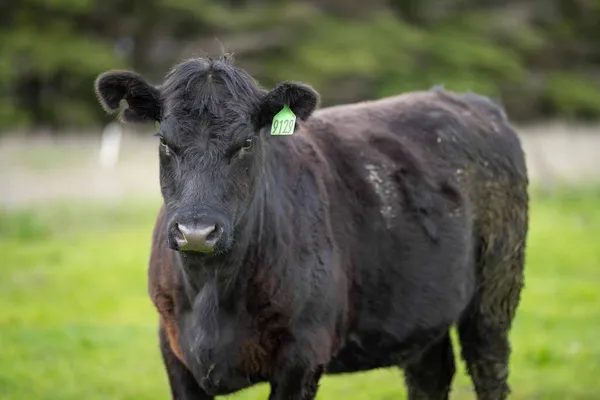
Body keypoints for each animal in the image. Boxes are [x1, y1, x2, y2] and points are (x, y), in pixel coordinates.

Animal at [94, 54, 528, 400]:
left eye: (246, 143)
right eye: (165, 142)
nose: (197, 232)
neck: (212, 294)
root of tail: (470, 100)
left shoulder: (302, 354)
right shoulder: (176, 354)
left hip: (496, 291)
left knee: (489, 367)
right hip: (423, 312)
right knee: (431, 374)